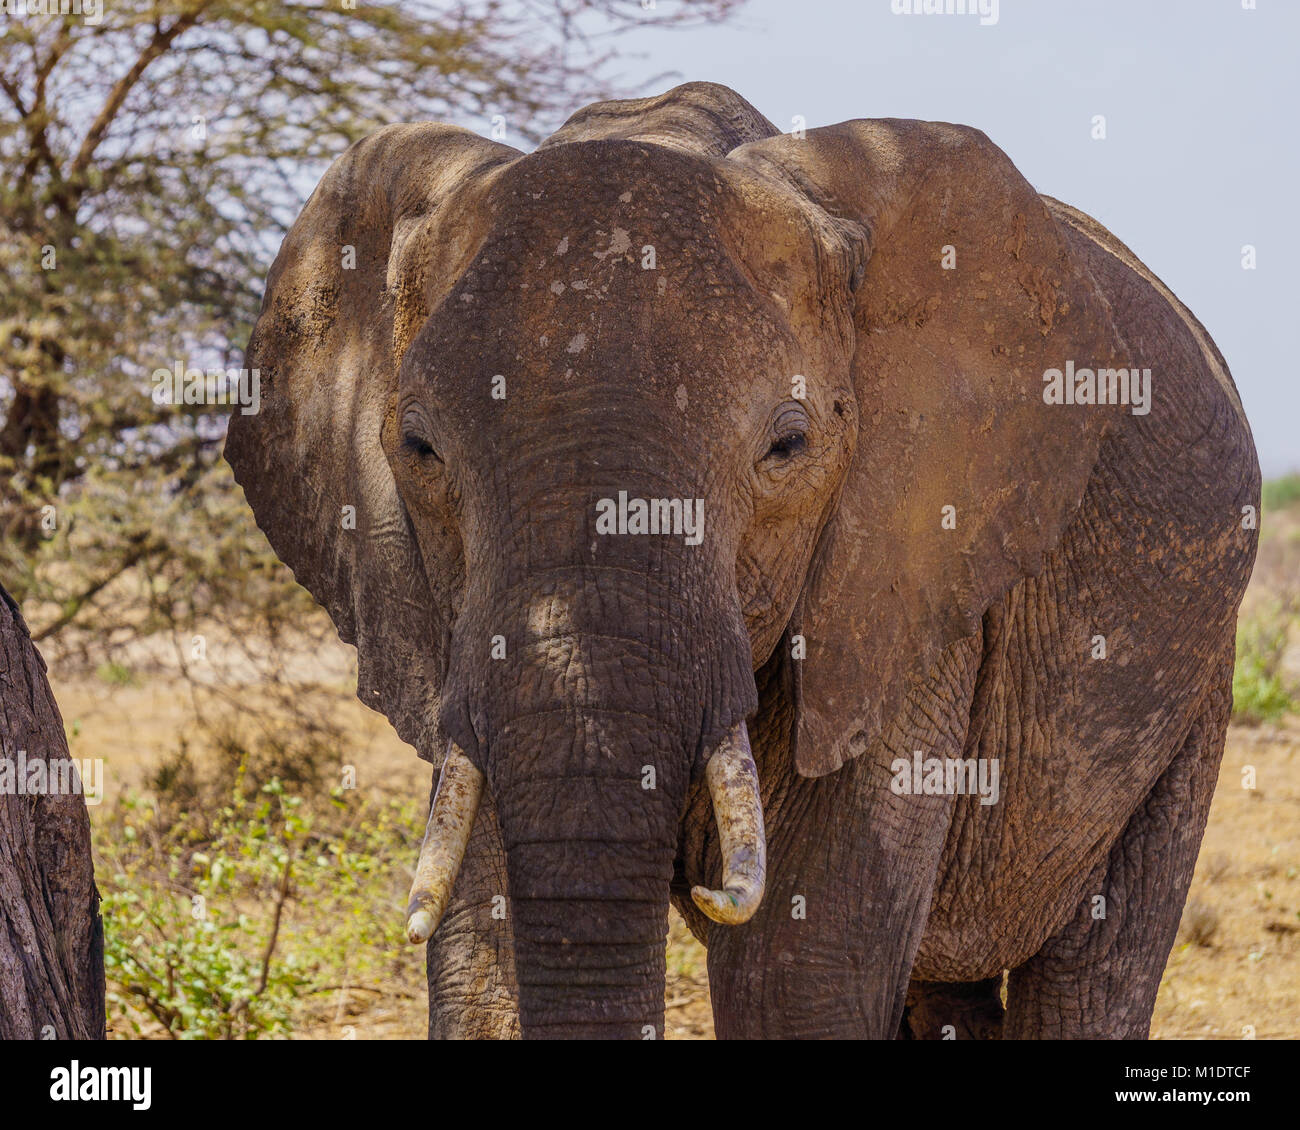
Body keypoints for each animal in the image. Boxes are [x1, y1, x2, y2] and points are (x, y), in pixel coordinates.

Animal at [223, 81, 1258, 1040]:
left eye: (787, 446)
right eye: (420, 447)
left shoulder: (908, 578)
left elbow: (796, 970)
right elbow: (485, 955)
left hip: (1196, 689)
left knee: (1094, 974)